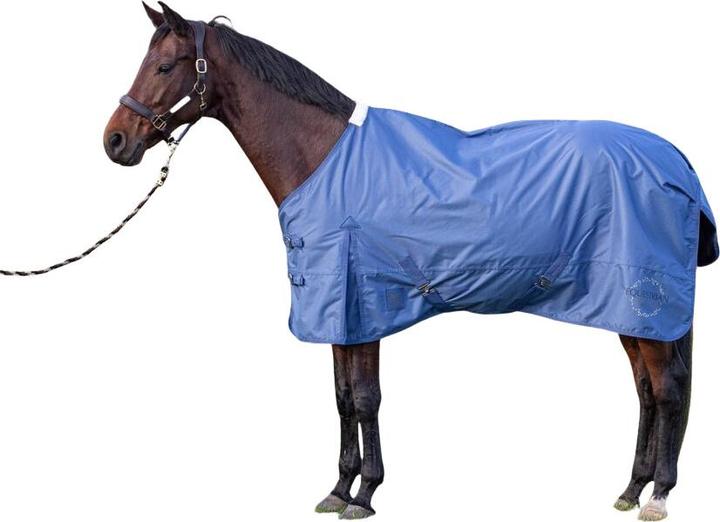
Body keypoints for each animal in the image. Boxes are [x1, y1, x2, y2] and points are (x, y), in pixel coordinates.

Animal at [103, 3, 717, 520]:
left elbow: (366, 398)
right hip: (629, 313)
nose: (114, 141)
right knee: (645, 392)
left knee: (667, 390)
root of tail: (676, 161)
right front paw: (339, 488)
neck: (323, 159)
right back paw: (631, 488)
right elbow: (343, 398)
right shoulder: (339, 313)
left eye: (165, 66)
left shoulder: (363, 303)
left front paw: (366, 494)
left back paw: (659, 495)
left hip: (645, 303)